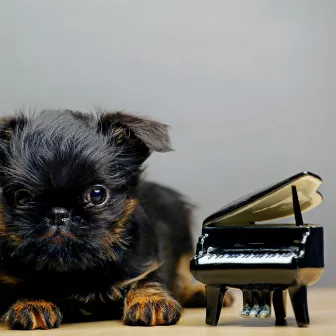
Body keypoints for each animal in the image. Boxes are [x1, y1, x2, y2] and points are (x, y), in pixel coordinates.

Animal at [0, 109, 231, 328]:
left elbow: (147, 280)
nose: (58, 213)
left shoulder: (147, 263)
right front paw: (32, 302)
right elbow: (24, 286)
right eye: (21, 197)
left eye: (97, 194)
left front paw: (150, 300)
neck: (76, 271)